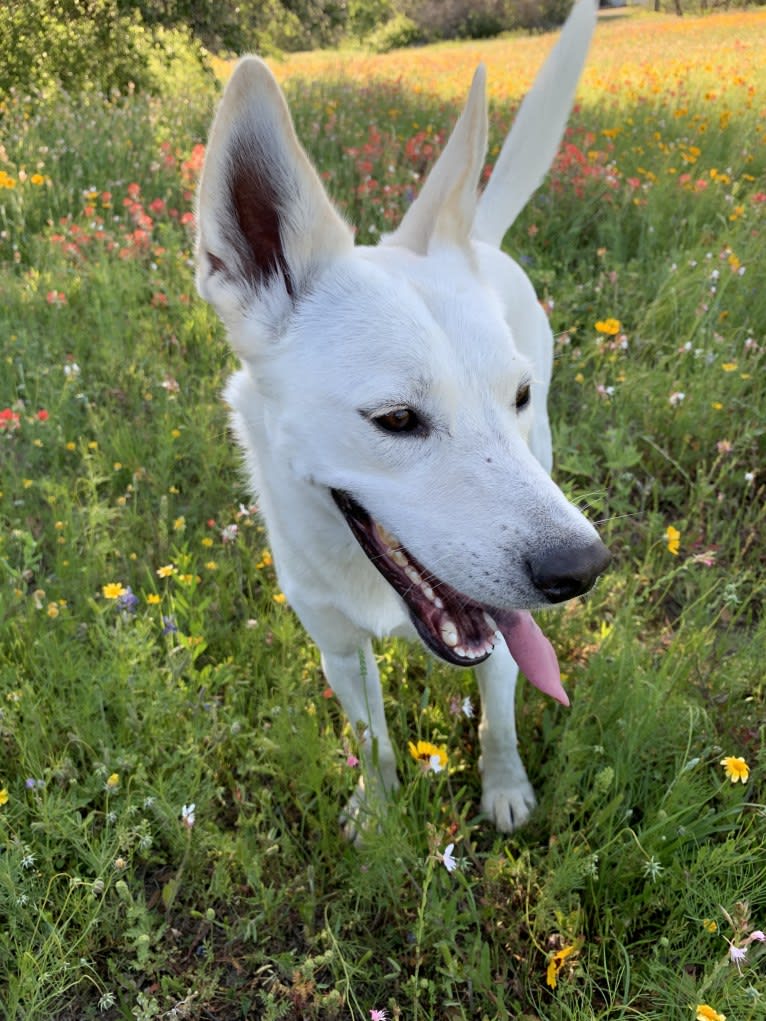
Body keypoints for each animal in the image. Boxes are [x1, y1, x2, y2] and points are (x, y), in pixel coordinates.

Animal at [196, 0, 612, 829]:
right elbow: (372, 739)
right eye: (395, 419)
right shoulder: (336, 649)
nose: (581, 569)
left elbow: (498, 716)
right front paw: (379, 815)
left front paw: (505, 788)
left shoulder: (502, 643)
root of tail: (479, 236)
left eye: (517, 397)